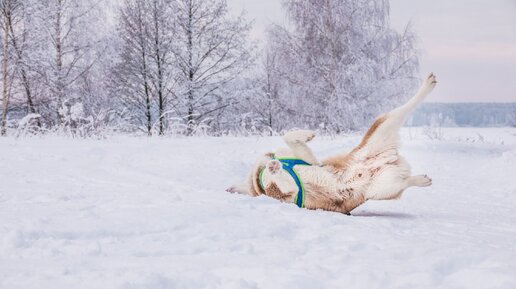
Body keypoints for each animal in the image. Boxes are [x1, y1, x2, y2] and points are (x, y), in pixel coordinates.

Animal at [228, 73, 438, 214]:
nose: (273, 165)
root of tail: (385, 161)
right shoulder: (285, 192)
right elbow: (277, 181)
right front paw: (273, 169)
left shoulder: (309, 160)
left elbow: (289, 137)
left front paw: (306, 135)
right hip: (379, 189)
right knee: (404, 182)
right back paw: (421, 179)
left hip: (381, 133)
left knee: (404, 108)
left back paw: (428, 84)